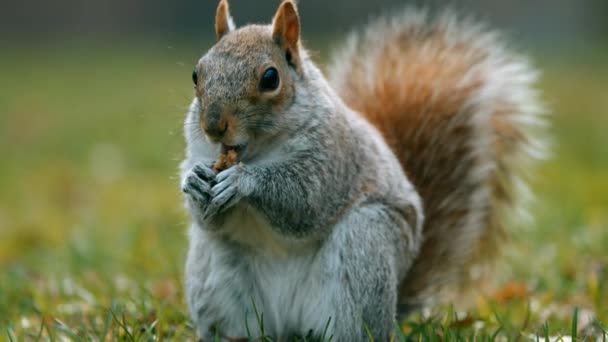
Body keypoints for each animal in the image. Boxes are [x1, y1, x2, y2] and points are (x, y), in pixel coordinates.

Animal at [178, 0, 544, 340]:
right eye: (196, 73)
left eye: (270, 78)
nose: (213, 126)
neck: (257, 149)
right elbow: (207, 218)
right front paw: (194, 180)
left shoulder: (334, 159)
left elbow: (304, 200)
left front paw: (243, 181)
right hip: (216, 275)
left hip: (364, 248)